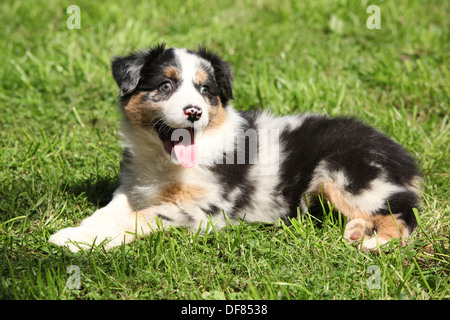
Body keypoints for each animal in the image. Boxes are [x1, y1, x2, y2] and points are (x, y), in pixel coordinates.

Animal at [50, 43, 422, 252]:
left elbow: (137, 219)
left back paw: (375, 242)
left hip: (342, 174)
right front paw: (79, 232)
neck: (162, 162)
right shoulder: (132, 188)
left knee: (403, 216)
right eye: (166, 86)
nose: (194, 112)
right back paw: (358, 231)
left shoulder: (201, 210)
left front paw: (76, 241)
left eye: (205, 90)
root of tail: (401, 153)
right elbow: (108, 212)